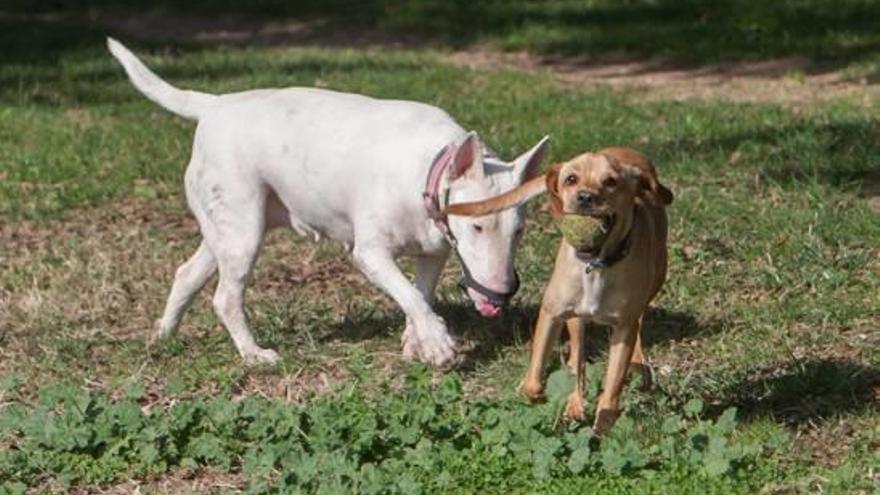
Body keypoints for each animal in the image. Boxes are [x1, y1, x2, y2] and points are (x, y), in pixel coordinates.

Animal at [108, 38, 552, 366]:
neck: (429, 169)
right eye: (477, 226)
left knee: (187, 273)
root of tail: (215, 105)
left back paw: (162, 337)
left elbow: (421, 293)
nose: (503, 293)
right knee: (225, 298)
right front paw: (439, 344)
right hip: (243, 228)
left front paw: (418, 341)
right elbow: (408, 294)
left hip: (230, 227)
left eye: (519, 231)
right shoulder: (370, 253)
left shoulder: (433, 252)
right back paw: (254, 354)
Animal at [446, 148, 672, 434]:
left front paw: (604, 422)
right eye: (571, 179)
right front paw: (539, 394)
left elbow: (612, 387)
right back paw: (573, 401)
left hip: (653, 282)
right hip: (575, 318)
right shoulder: (551, 313)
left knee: (637, 325)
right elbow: (537, 377)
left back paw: (638, 365)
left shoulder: (623, 328)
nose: (585, 197)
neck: (595, 267)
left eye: (611, 181)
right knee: (577, 358)